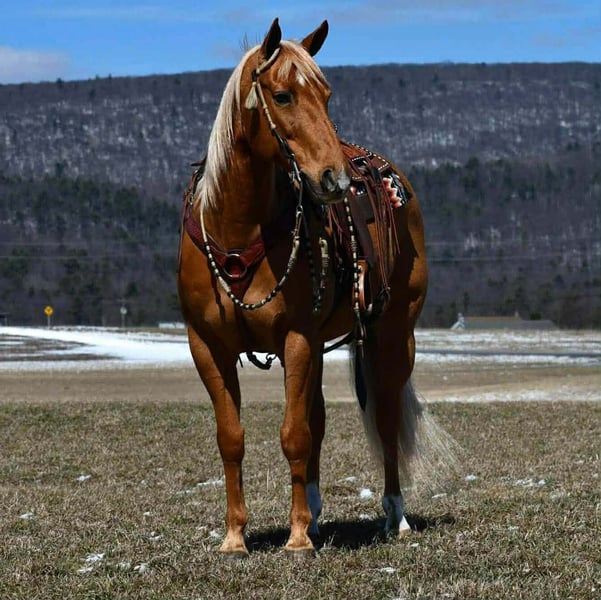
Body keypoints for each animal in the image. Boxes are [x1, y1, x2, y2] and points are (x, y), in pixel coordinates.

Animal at [178, 18, 433, 558]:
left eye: (326, 95)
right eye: (282, 95)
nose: (334, 178)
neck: (238, 235)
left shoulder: (295, 338)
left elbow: (293, 434)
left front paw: (295, 539)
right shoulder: (207, 345)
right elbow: (233, 437)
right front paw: (235, 536)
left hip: (393, 335)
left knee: (385, 419)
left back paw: (394, 516)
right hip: (319, 346)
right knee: (318, 419)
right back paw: (315, 517)